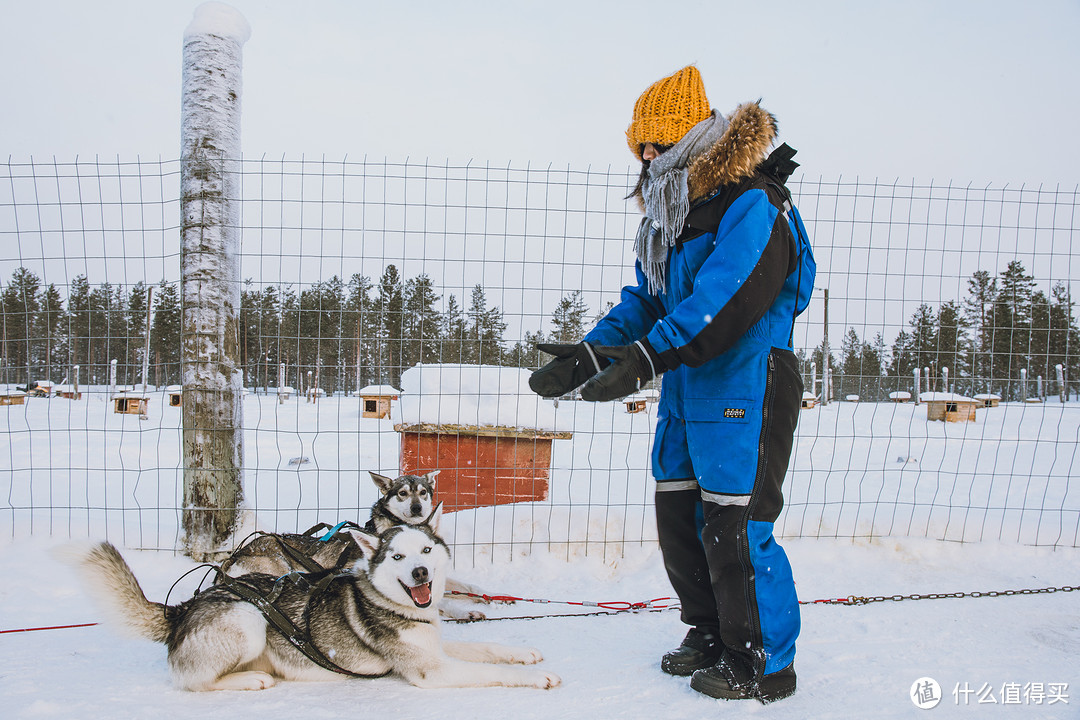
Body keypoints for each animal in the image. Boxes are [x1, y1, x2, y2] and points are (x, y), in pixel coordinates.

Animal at [69, 507, 557, 690]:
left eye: (425, 551)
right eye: (396, 556)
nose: (419, 573)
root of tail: (184, 608)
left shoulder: (436, 645)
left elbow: (487, 648)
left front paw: (526, 653)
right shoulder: (432, 671)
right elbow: (490, 672)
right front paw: (537, 678)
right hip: (248, 619)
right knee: (195, 682)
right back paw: (250, 680)